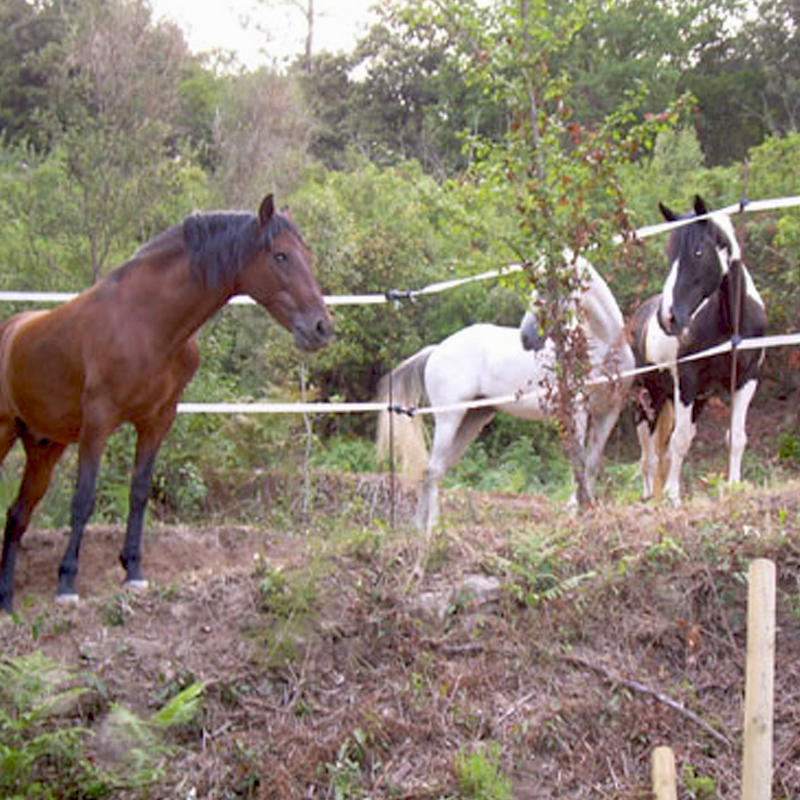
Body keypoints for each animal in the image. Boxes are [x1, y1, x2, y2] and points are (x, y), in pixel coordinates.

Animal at [0, 194, 332, 612]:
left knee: (17, 515)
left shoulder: (156, 421)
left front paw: (134, 572)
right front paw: (67, 584)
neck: (147, 322)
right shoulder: (98, 422)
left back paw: (6, 601)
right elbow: (84, 499)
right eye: (281, 256)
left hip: (46, 447)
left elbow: (139, 492)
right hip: (5, 431)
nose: (322, 327)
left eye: (307, 254)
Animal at [378, 256, 636, 532]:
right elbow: (578, 461)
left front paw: (586, 510)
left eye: (550, 282)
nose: (527, 336)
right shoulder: (577, 410)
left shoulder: (609, 412)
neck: (601, 347)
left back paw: (418, 528)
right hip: (449, 419)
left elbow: (592, 463)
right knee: (433, 470)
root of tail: (436, 350)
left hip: (473, 419)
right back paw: (433, 528)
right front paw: (575, 510)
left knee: (434, 470)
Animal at [636, 196, 764, 504]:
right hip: (649, 395)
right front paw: (673, 497)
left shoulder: (746, 379)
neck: (731, 324)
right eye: (670, 253)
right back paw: (649, 494)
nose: (667, 317)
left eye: (697, 252)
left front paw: (734, 487)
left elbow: (736, 437)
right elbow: (679, 441)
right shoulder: (687, 380)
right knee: (649, 448)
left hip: (695, 398)